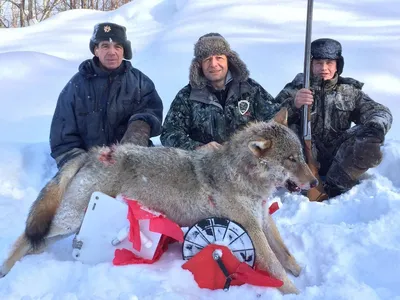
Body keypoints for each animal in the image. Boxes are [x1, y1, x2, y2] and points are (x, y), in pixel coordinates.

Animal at [1, 109, 318, 294]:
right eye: (290, 159)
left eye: (301, 156)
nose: (314, 182)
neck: (243, 175)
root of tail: (92, 153)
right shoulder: (250, 228)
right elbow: (275, 268)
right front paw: (295, 291)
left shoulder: (264, 219)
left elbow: (286, 255)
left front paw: (302, 272)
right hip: (69, 221)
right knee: (24, 238)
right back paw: (6, 272)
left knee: (34, 242)